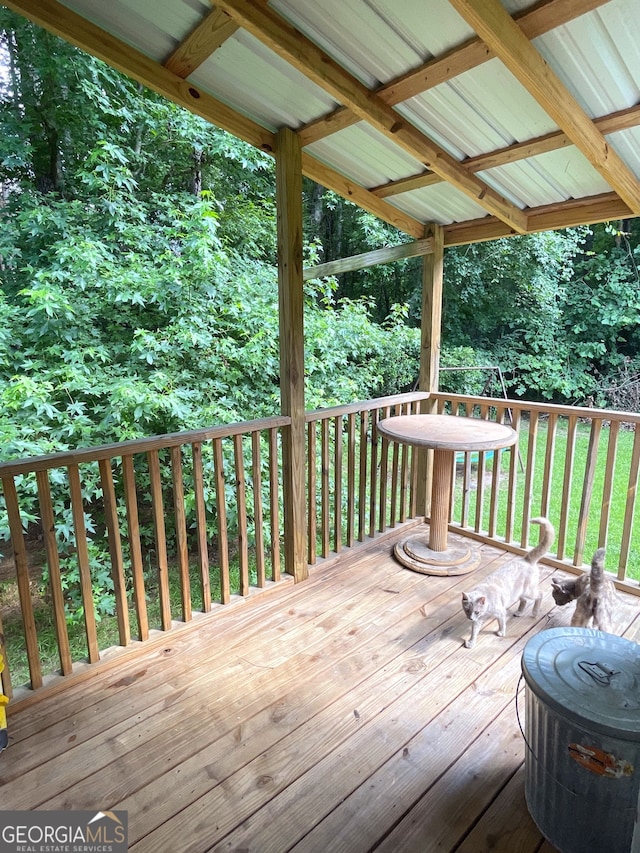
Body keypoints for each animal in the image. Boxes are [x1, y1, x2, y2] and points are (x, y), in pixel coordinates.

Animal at [460, 516, 556, 648]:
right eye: (467, 610)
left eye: (476, 611)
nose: (470, 618)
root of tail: (526, 559)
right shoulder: (478, 621)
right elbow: (474, 631)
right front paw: (471, 642)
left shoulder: (500, 612)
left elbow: (502, 623)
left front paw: (501, 632)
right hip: (519, 592)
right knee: (524, 601)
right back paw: (519, 612)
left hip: (529, 591)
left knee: (540, 594)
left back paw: (534, 612)